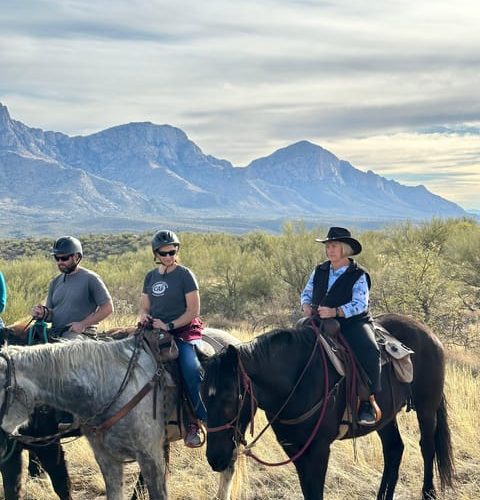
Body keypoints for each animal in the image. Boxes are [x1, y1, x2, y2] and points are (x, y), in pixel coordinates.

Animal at [202, 314, 454, 498]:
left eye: (230, 398)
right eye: (202, 397)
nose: (215, 459)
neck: (298, 379)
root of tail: (427, 332)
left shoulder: (319, 449)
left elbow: (315, 492)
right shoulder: (296, 449)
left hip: (427, 408)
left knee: (427, 446)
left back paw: (429, 493)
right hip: (385, 417)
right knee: (394, 449)